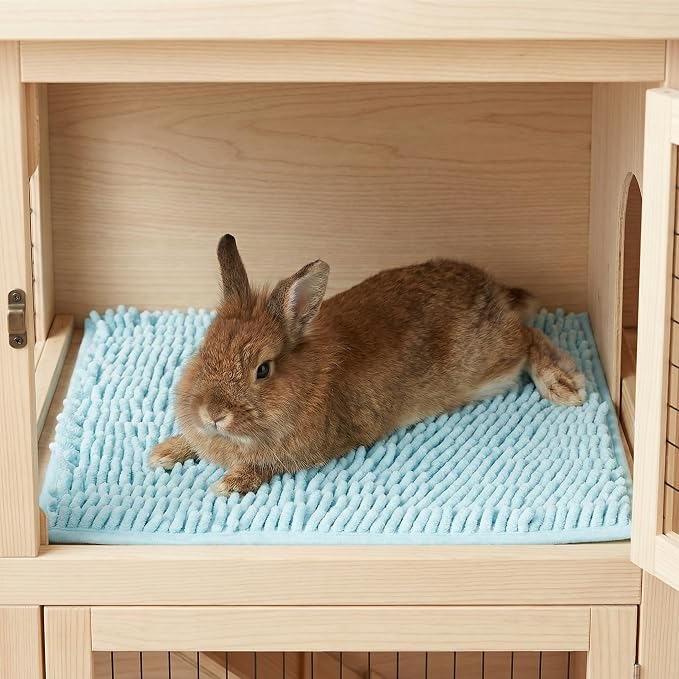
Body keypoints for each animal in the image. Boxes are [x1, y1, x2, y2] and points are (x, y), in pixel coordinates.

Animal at [149, 234, 586, 495]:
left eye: (263, 370)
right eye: (203, 349)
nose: (213, 413)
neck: (307, 381)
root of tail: (494, 290)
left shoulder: (304, 452)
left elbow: (265, 465)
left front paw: (229, 484)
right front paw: (165, 452)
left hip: (491, 359)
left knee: (529, 336)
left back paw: (563, 383)